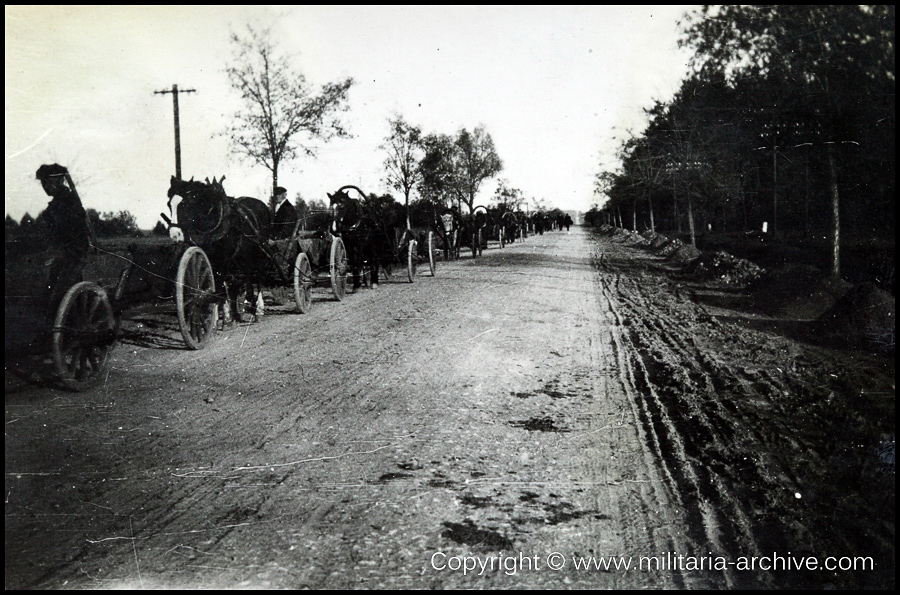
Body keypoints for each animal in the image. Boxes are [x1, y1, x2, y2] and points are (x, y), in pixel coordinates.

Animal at [166, 176, 270, 322]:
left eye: (184, 204)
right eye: (169, 204)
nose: (175, 235)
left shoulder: (224, 258)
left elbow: (222, 283)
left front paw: (225, 317)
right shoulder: (212, 258)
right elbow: (215, 283)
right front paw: (218, 315)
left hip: (259, 252)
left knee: (258, 277)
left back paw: (258, 308)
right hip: (241, 258)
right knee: (243, 279)